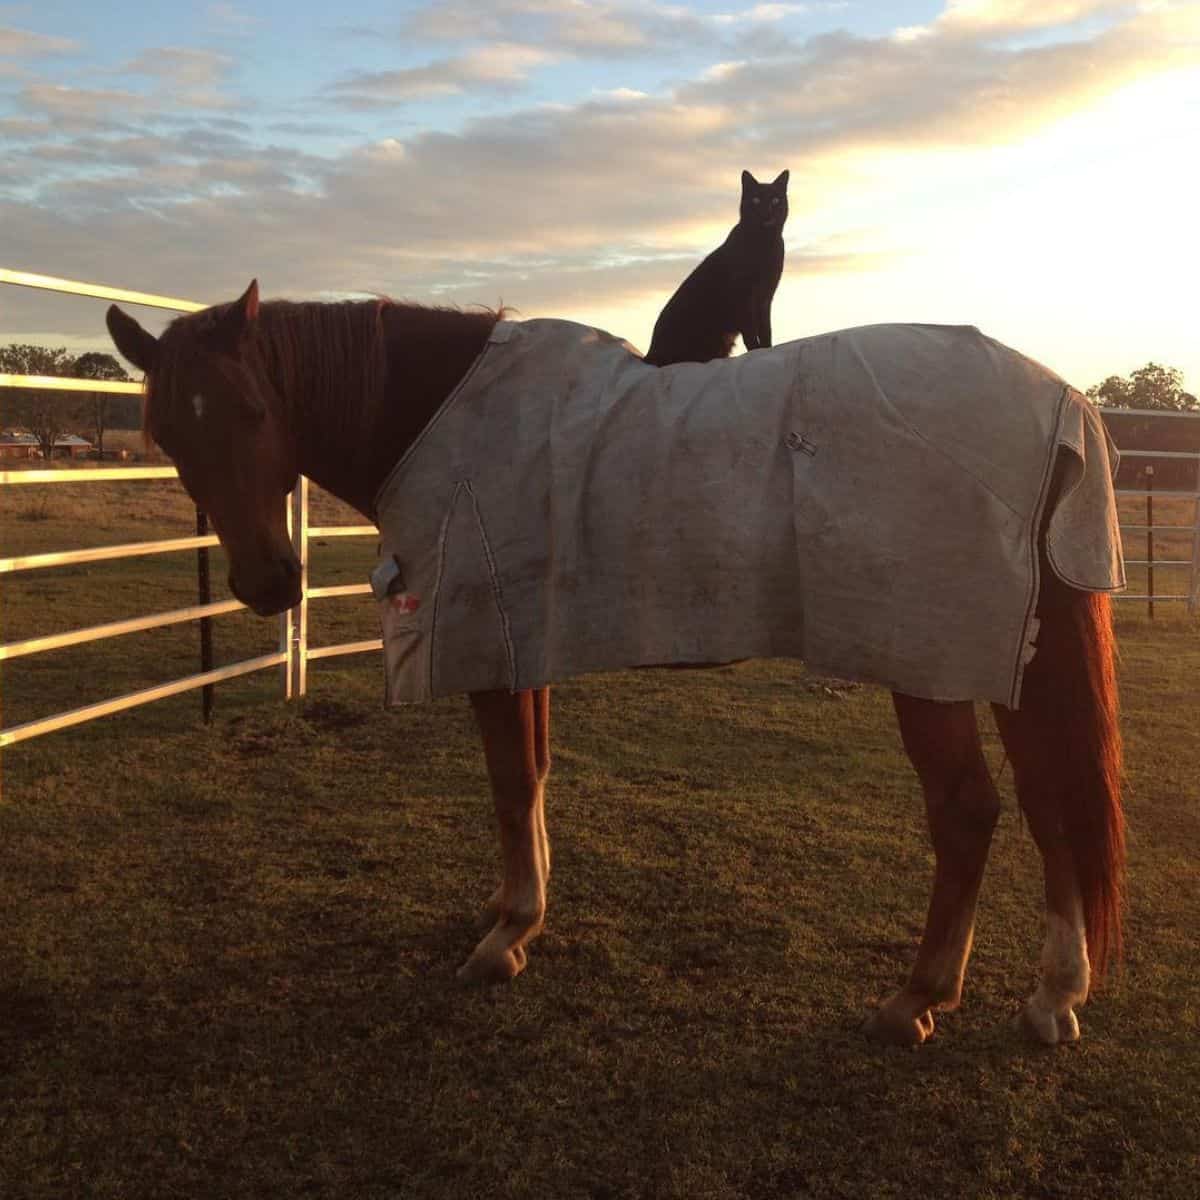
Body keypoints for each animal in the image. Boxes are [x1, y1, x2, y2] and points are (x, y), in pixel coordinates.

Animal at [105, 278, 1123, 1041]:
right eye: (169, 432)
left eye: (253, 408)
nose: (269, 583)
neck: (445, 413)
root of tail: (1060, 400)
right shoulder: (529, 645)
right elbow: (534, 774)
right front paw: (516, 913)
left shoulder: (489, 642)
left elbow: (510, 780)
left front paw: (506, 936)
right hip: (1008, 659)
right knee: (1051, 804)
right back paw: (1052, 994)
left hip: (932, 660)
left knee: (969, 813)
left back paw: (919, 996)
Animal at [643, 169, 792, 364]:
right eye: (756, 200)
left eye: (775, 200)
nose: (766, 213)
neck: (764, 242)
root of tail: (649, 354)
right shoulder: (743, 297)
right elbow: (750, 332)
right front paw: (755, 351)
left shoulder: (765, 296)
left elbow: (766, 330)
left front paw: (766, 350)